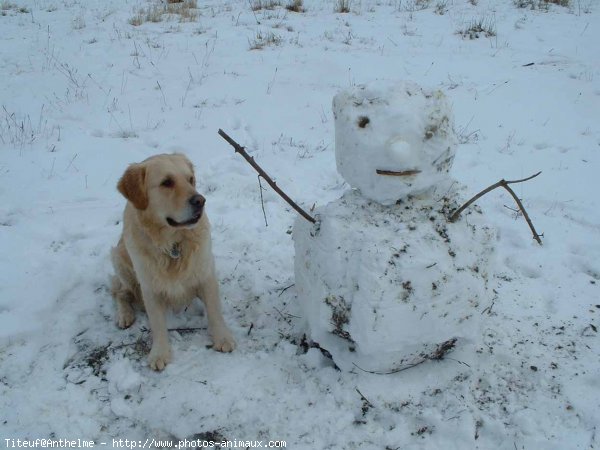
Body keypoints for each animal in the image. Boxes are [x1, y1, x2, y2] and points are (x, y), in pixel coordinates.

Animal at [111, 153, 236, 370]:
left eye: (190, 179)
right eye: (166, 182)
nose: (200, 201)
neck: (173, 244)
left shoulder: (206, 274)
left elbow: (214, 310)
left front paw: (222, 337)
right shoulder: (149, 286)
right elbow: (157, 323)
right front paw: (159, 353)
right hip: (119, 258)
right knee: (120, 293)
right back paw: (125, 315)